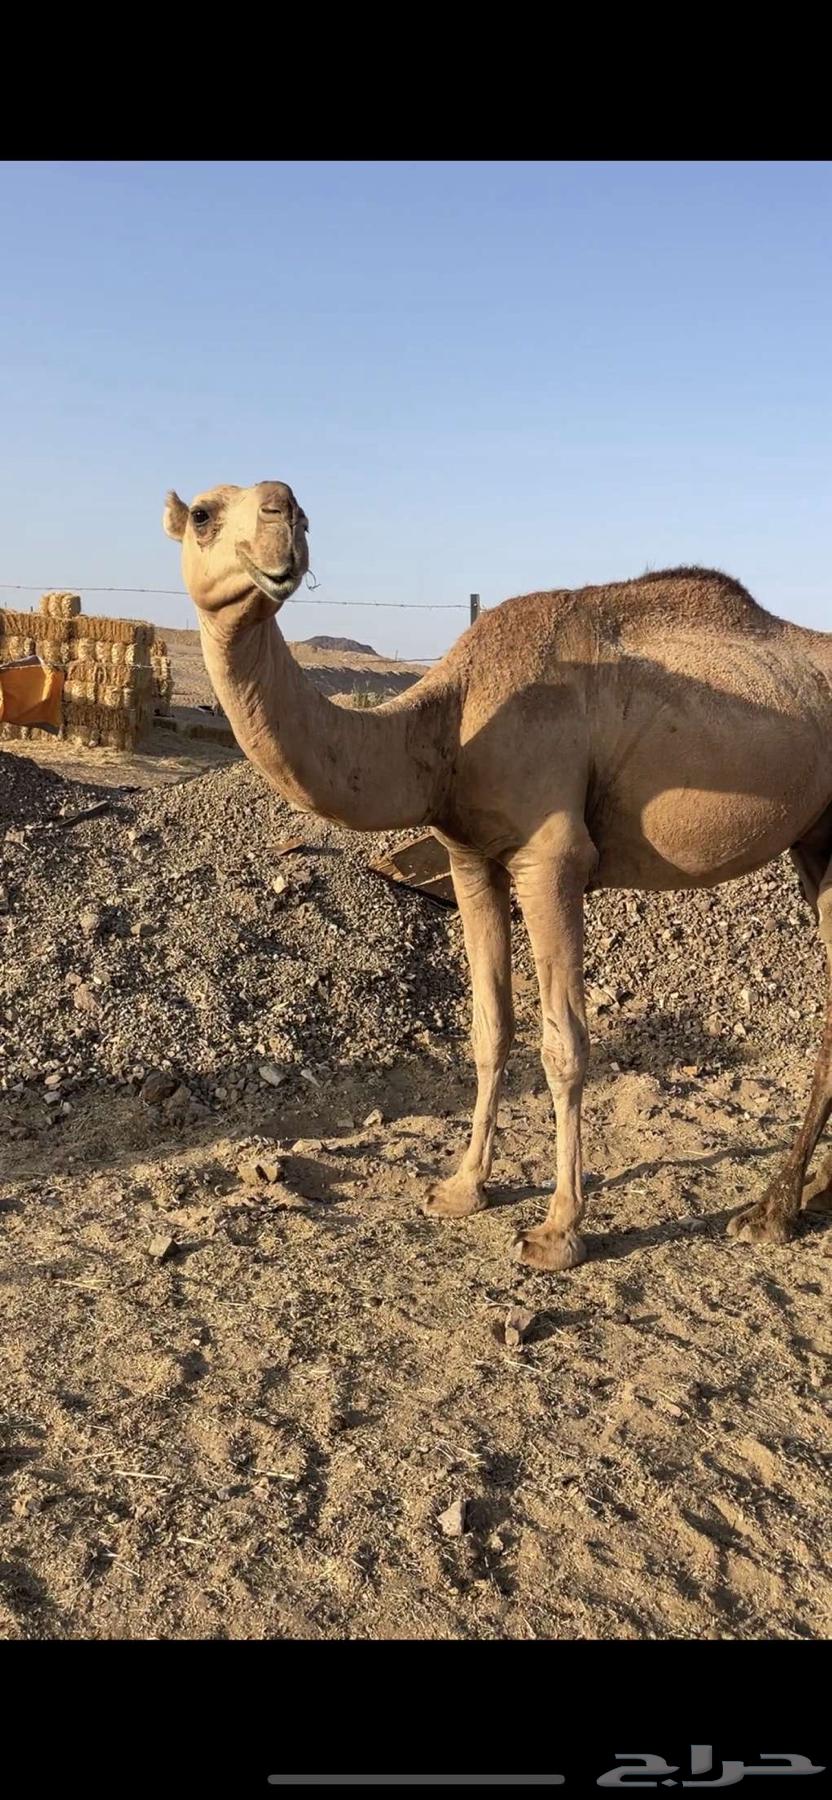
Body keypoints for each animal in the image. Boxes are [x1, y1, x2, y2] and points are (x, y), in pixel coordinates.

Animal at [164, 479, 832, 1271]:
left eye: (297, 513)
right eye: (202, 514)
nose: (282, 509)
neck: (447, 726)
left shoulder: (551, 859)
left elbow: (565, 1043)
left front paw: (557, 1231)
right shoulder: (469, 857)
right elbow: (489, 1026)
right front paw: (459, 1189)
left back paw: (769, 1213)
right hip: (816, 840)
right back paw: (805, 1194)